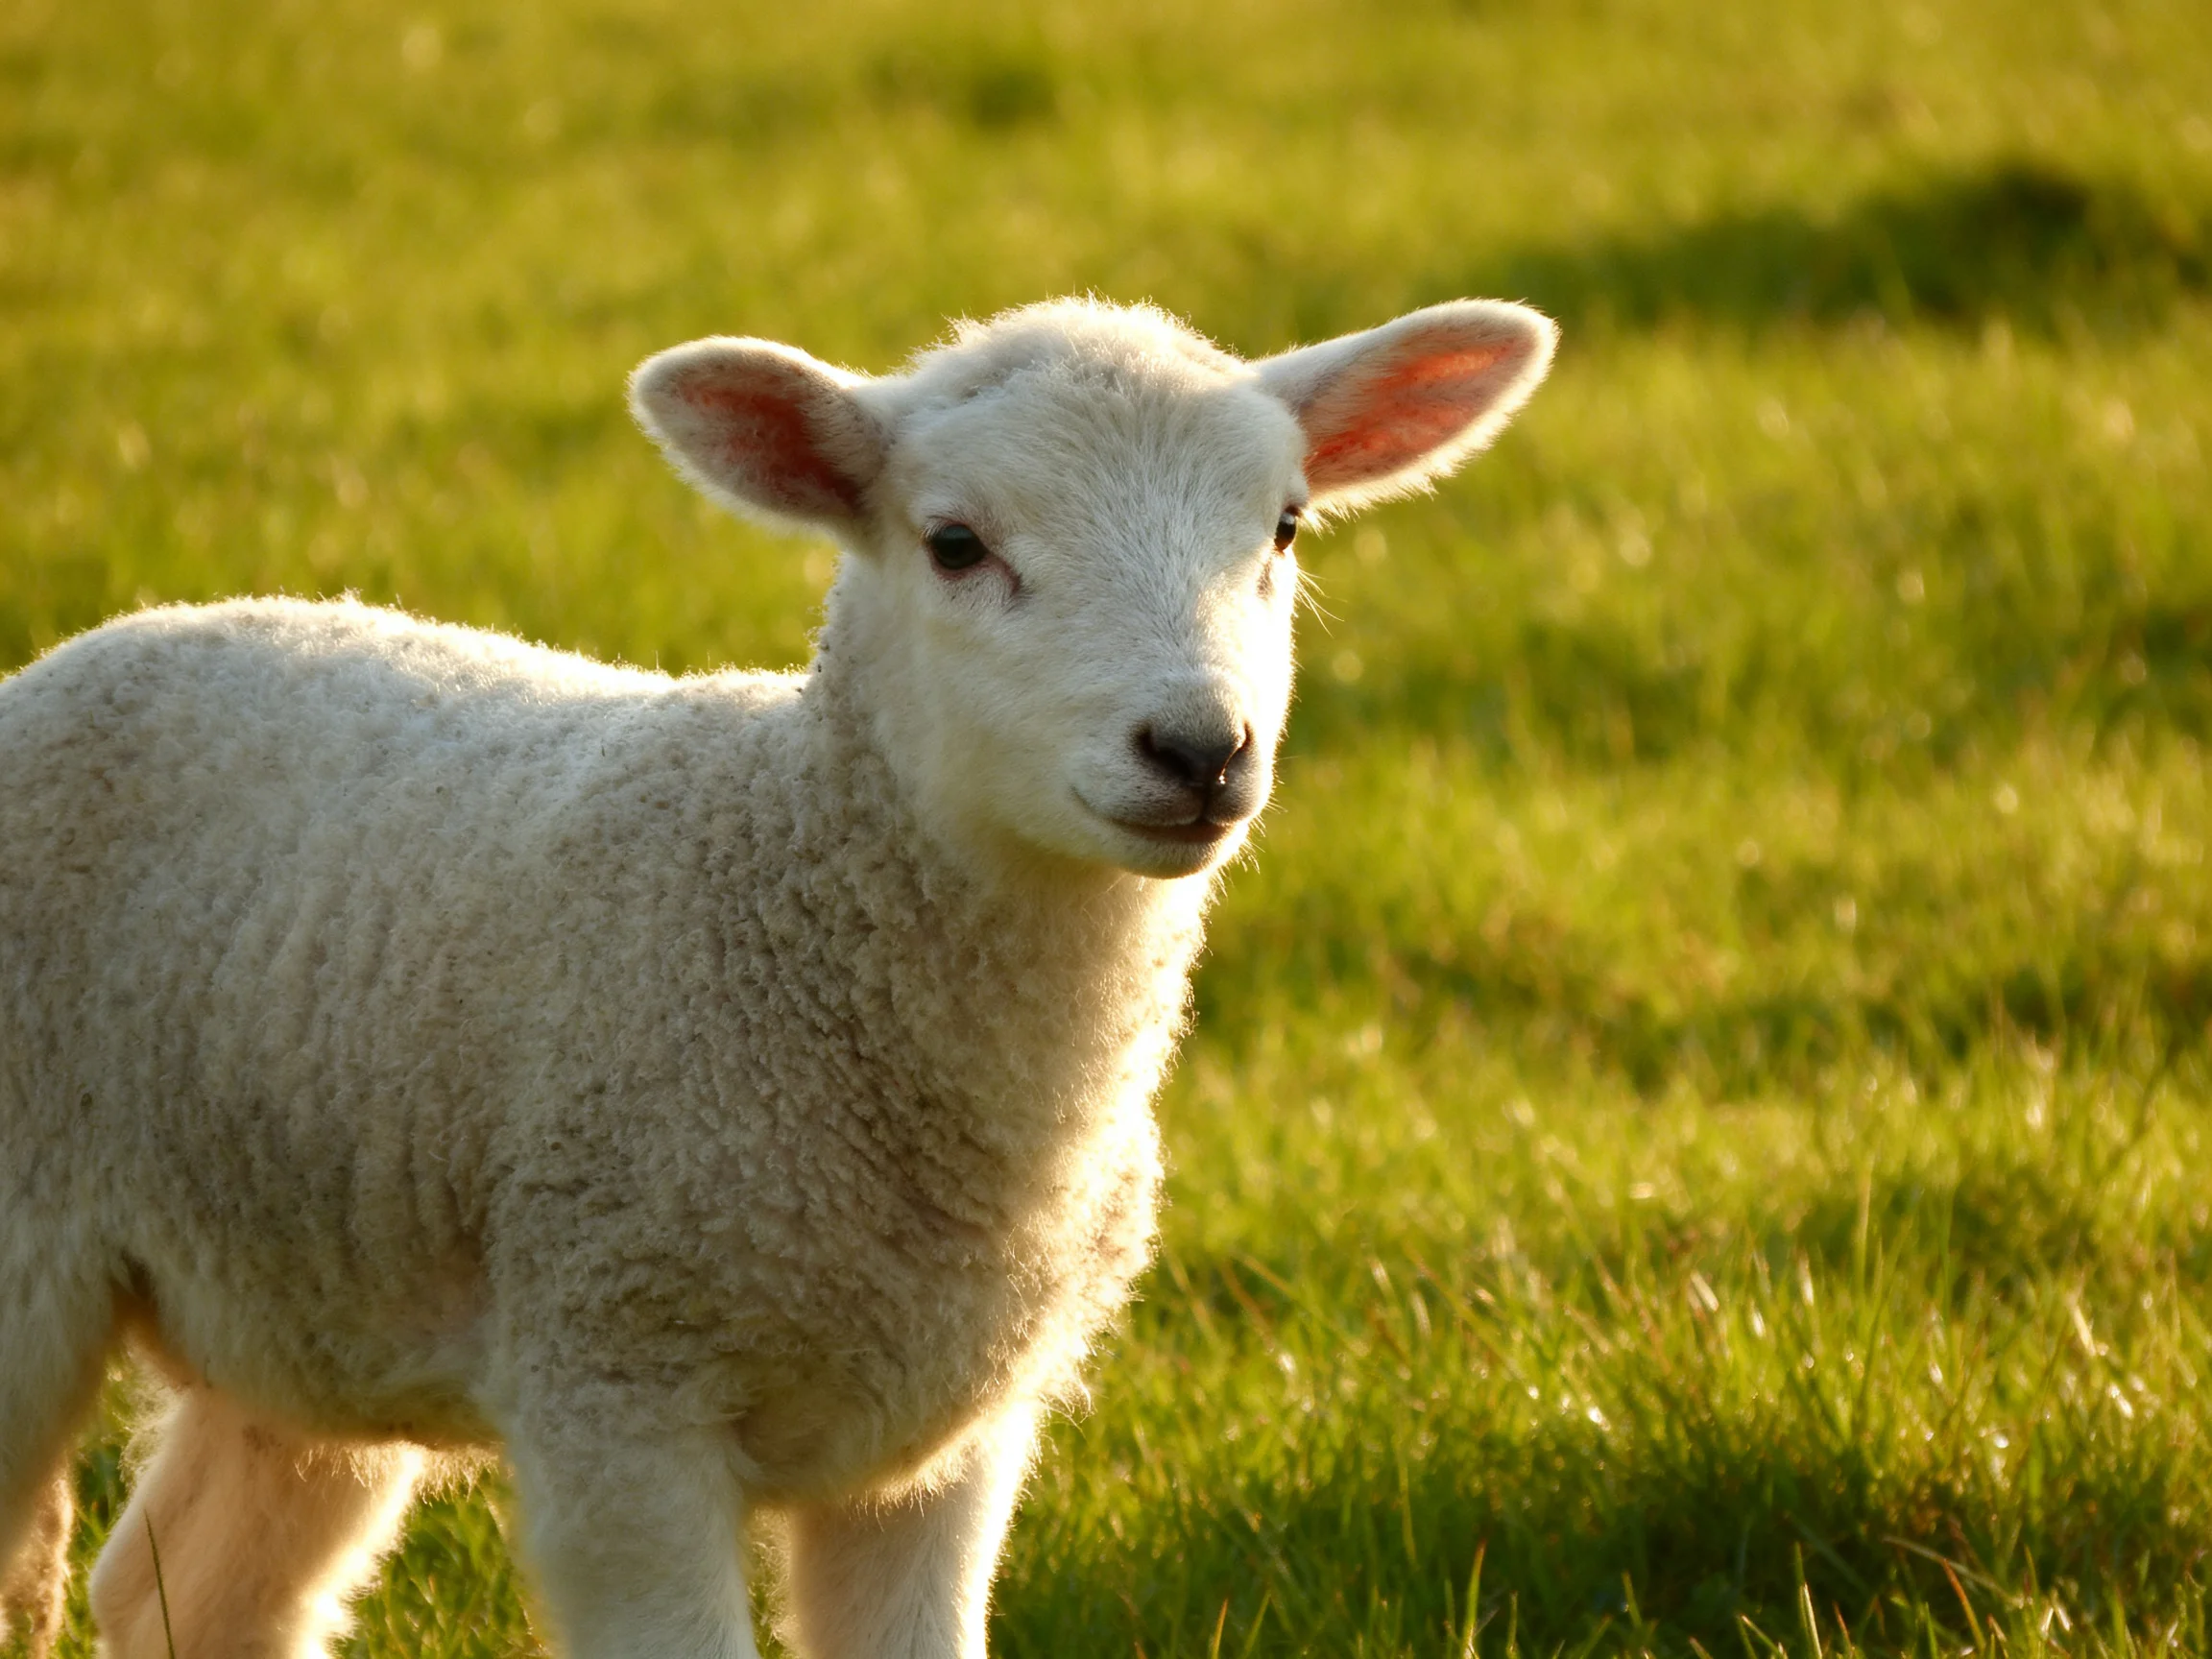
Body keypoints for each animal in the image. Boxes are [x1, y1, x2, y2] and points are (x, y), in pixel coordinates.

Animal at [0, 294, 1554, 1659]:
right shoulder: (615, 1390)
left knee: (189, 1591)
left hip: (305, 1303)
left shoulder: (946, 1446)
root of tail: (116, 635)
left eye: (1283, 528)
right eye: (954, 543)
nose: (1198, 751)